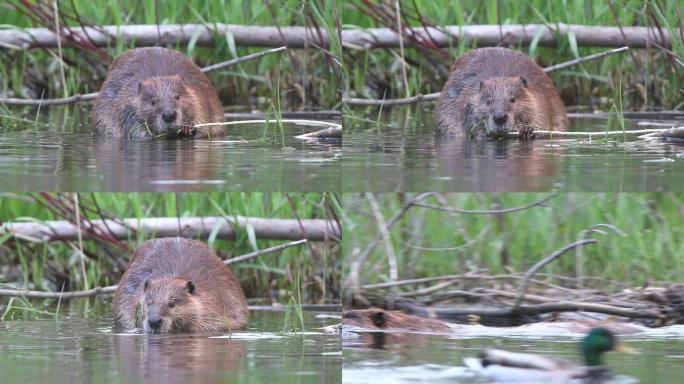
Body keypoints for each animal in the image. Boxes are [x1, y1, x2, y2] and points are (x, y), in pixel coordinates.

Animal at [93, 47, 224, 139]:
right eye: (153, 102)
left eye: (177, 97)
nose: (169, 115)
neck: (160, 78)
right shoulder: (125, 103)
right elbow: (132, 128)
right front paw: (151, 135)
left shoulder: (199, 97)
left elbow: (204, 122)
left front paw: (189, 129)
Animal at [436, 47, 568, 139]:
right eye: (488, 101)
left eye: (513, 99)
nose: (500, 117)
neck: (501, 78)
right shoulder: (467, 99)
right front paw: (482, 134)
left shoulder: (540, 99)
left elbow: (542, 121)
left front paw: (527, 131)